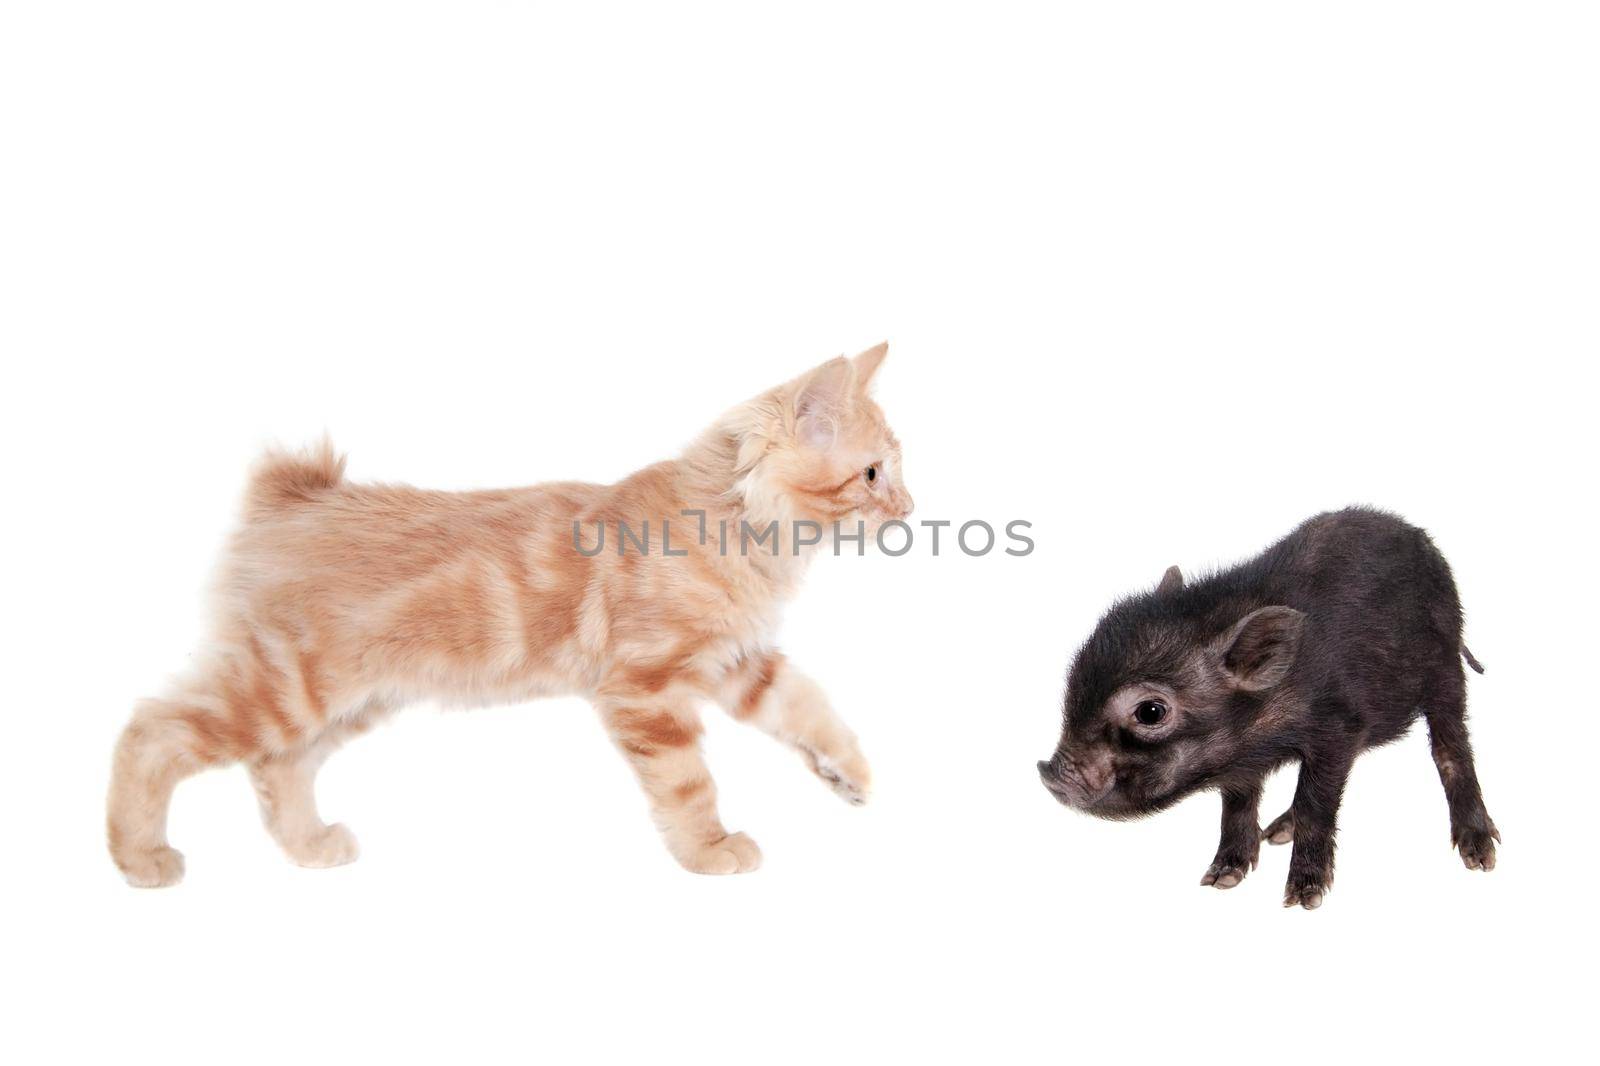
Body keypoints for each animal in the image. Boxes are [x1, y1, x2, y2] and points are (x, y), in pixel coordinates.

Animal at [106, 340, 915, 877]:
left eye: (895, 472)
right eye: (873, 473)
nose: (909, 508)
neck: (736, 524)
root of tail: (291, 498)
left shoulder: (740, 664)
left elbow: (812, 707)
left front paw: (851, 773)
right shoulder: (646, 690)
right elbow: (689, 785)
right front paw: (710, 849)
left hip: (349, 698)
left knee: (278, 770)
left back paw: (310, 846)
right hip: (285, 687)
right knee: (151, 730)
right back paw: (138, 855)